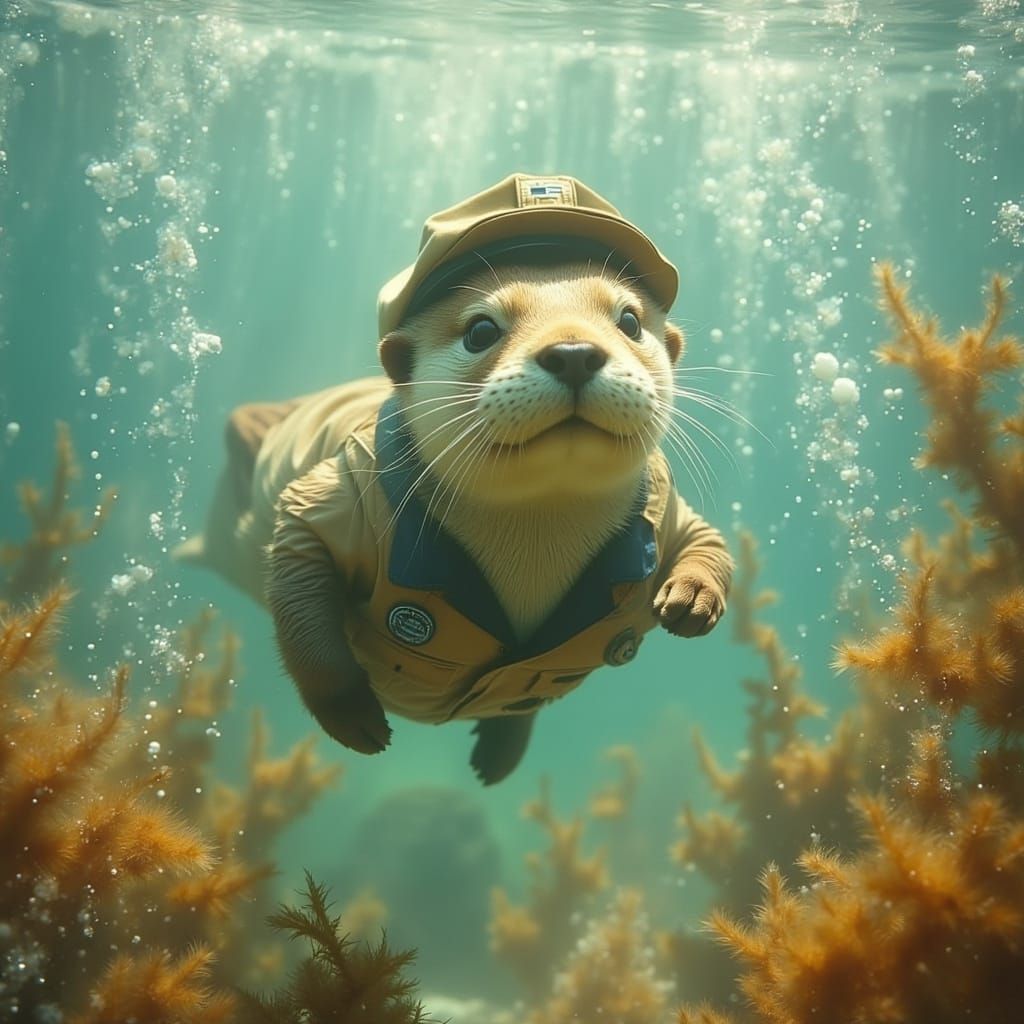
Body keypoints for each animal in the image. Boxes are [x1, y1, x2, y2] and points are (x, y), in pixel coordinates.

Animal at [181, 174, 733, 784]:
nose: (573, 351)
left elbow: (709, 541)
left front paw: (694, 597)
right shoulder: (340, 492)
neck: (534, 544)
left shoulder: (665, 503)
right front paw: (349, 712)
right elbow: (302, 589)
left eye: (630, 320)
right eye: (481, 330)